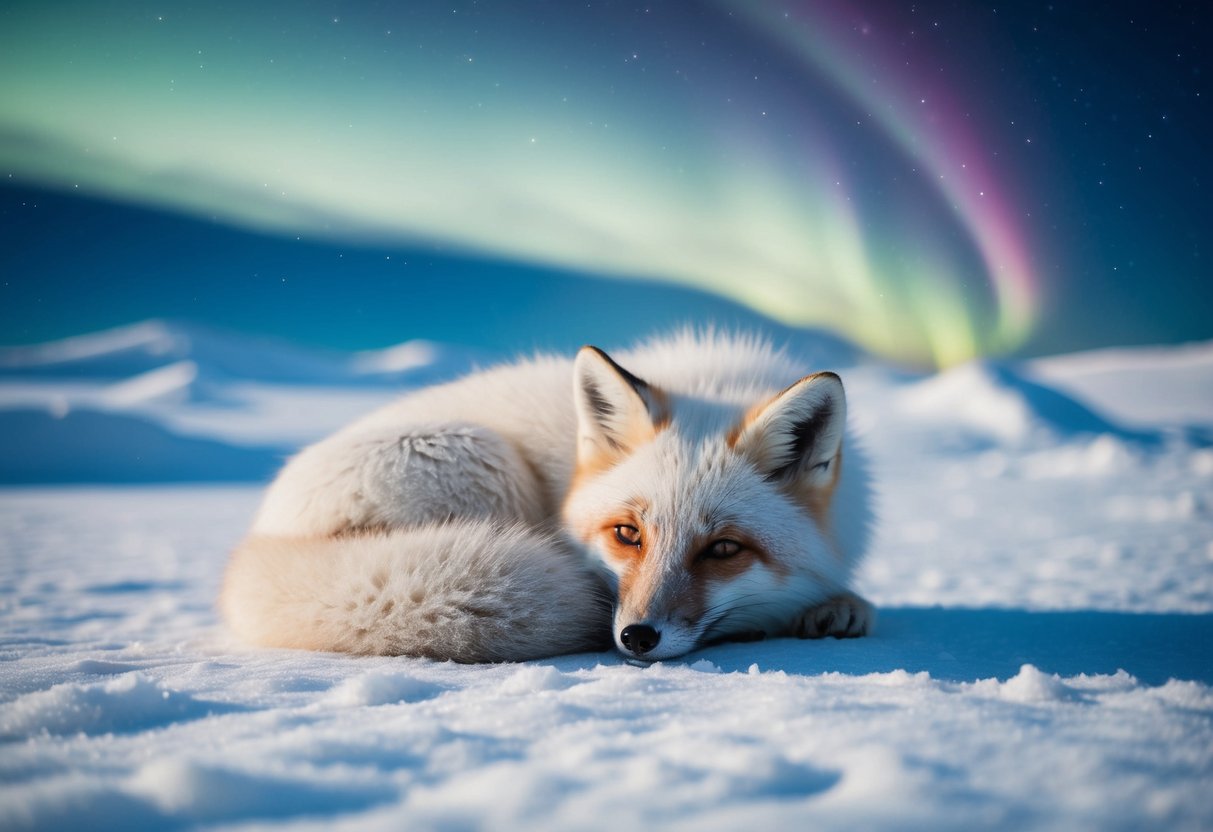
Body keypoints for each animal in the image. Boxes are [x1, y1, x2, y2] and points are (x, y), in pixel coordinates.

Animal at [220, 330, 874, 662]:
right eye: (628, 534)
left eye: (723, 549)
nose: (636, 638)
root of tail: (259, 542)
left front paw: (837, 607)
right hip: (486, 456)